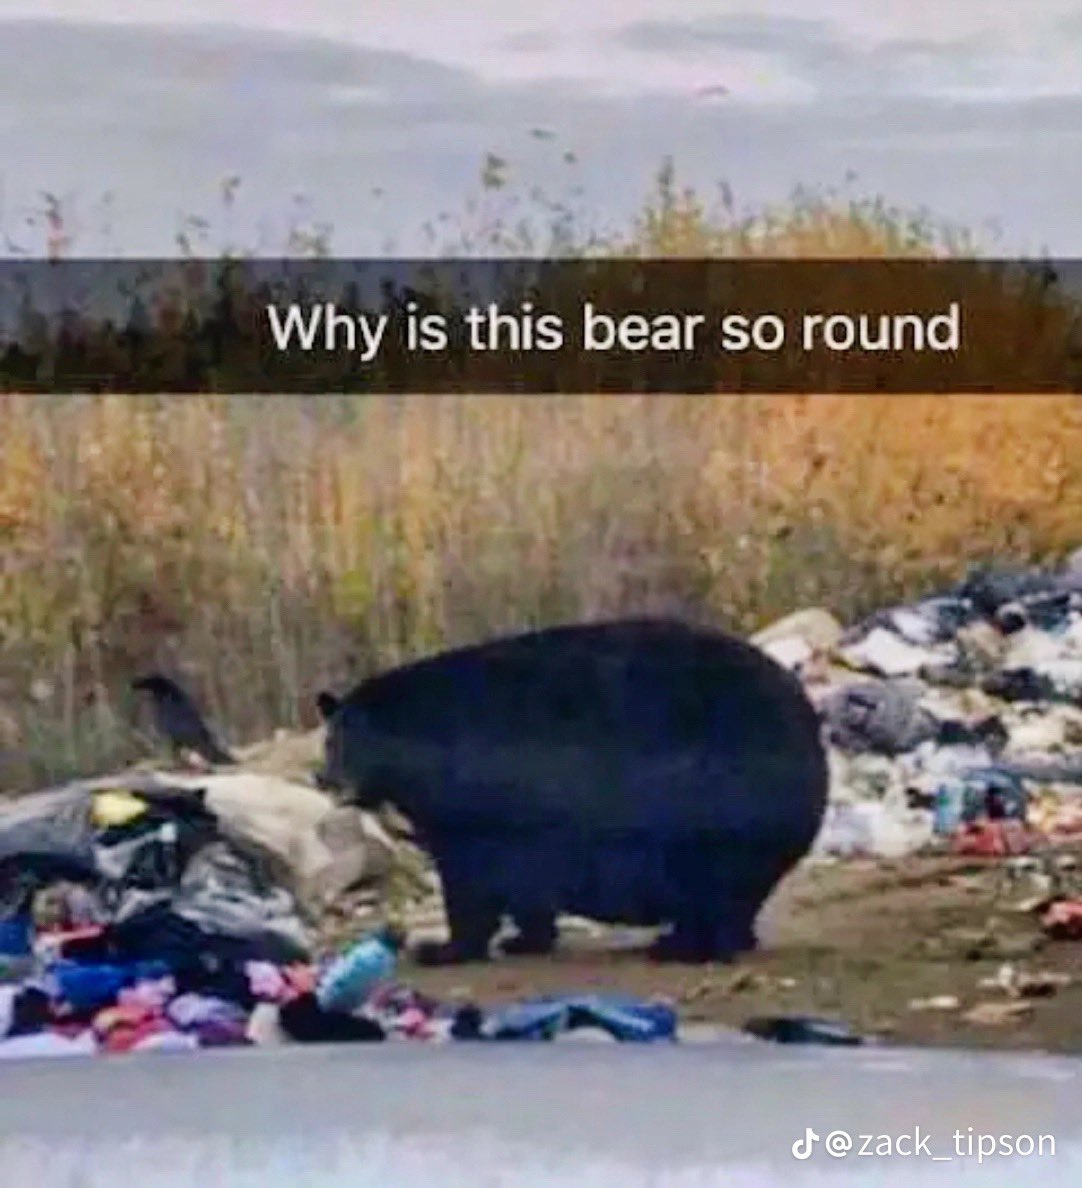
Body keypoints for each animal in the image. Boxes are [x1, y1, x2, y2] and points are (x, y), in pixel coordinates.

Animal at [316, 617, 828, 965]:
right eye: (330, 739)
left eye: (350, 739)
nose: (325, 779)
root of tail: (809, 726)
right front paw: (525, 939)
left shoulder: (477, 801)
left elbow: (469, 875)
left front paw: (444, 948)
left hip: (721, 796)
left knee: (716, 882)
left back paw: (686, 947)